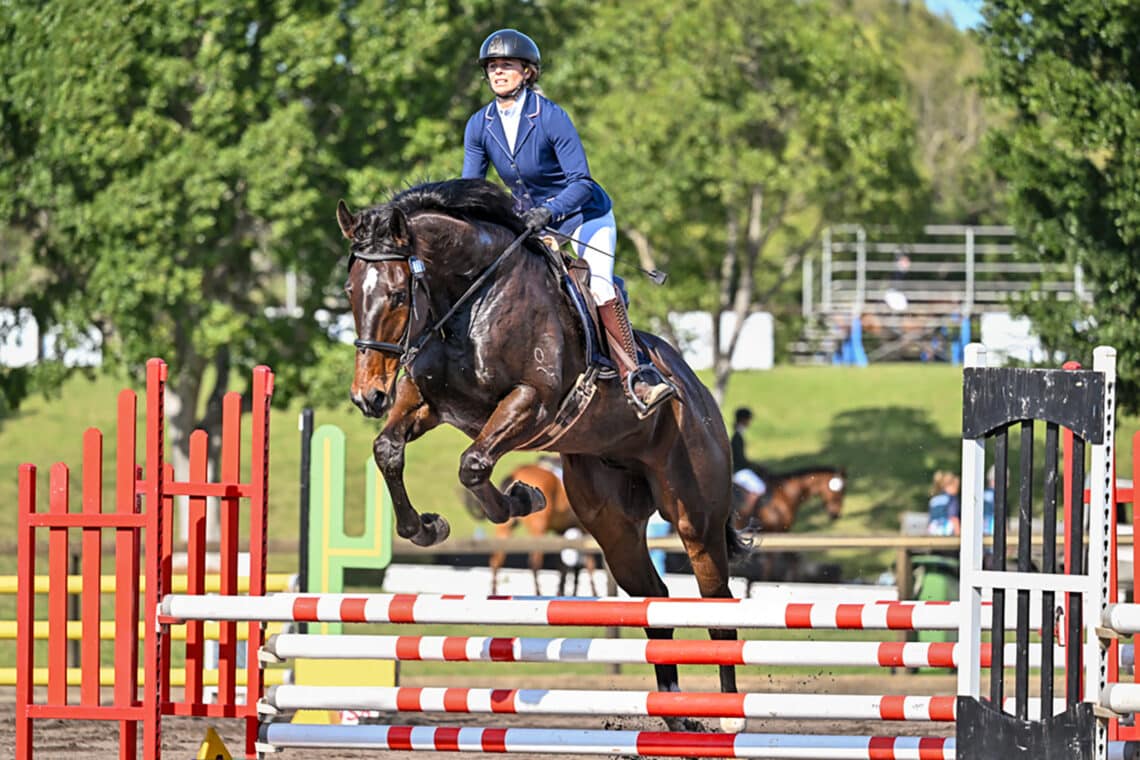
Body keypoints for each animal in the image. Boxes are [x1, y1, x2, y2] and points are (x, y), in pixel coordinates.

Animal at [335, 176, 747, 729]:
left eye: (399, 294)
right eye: (350, 291)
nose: (368, 397)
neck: (468, 302)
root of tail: (698, 393)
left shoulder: (531, 402)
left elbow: (473, 465)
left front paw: (521, 498)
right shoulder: (428, 403)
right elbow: (388, 451)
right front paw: (426, 527)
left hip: (695, 513)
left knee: (716, 599)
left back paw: (729, 715)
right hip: (613, 524)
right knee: (654, 601)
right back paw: (677, 716)